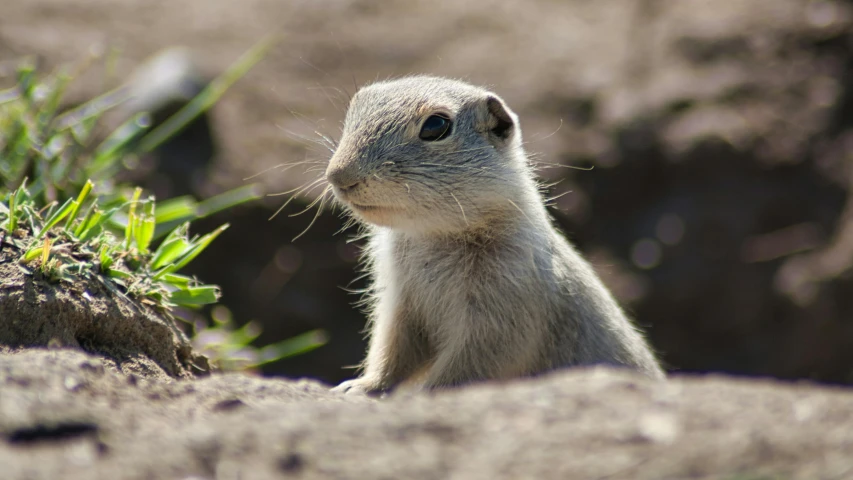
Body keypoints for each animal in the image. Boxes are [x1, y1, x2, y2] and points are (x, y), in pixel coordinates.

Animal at [322, 76, 664, 394]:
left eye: (436, 126)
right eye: (355, 107)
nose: (338, 175)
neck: (433, 233)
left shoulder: (501, 311)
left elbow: (465, 368)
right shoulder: (400, 304)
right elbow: (392, 352)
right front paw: (359, 387)